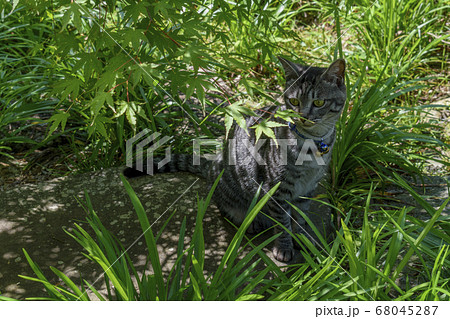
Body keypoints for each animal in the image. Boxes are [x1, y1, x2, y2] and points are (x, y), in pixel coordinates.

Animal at [124, 58, 348, 262]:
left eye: (318, 102)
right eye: (293, 102)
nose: (302, 116)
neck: (313, 143)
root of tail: (214, 162)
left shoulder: (308, 189)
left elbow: (301, 217)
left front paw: (302, 238)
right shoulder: (277, 188)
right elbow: (283, 222)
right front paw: (284, 246)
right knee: (228, 209)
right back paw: (253, 222)